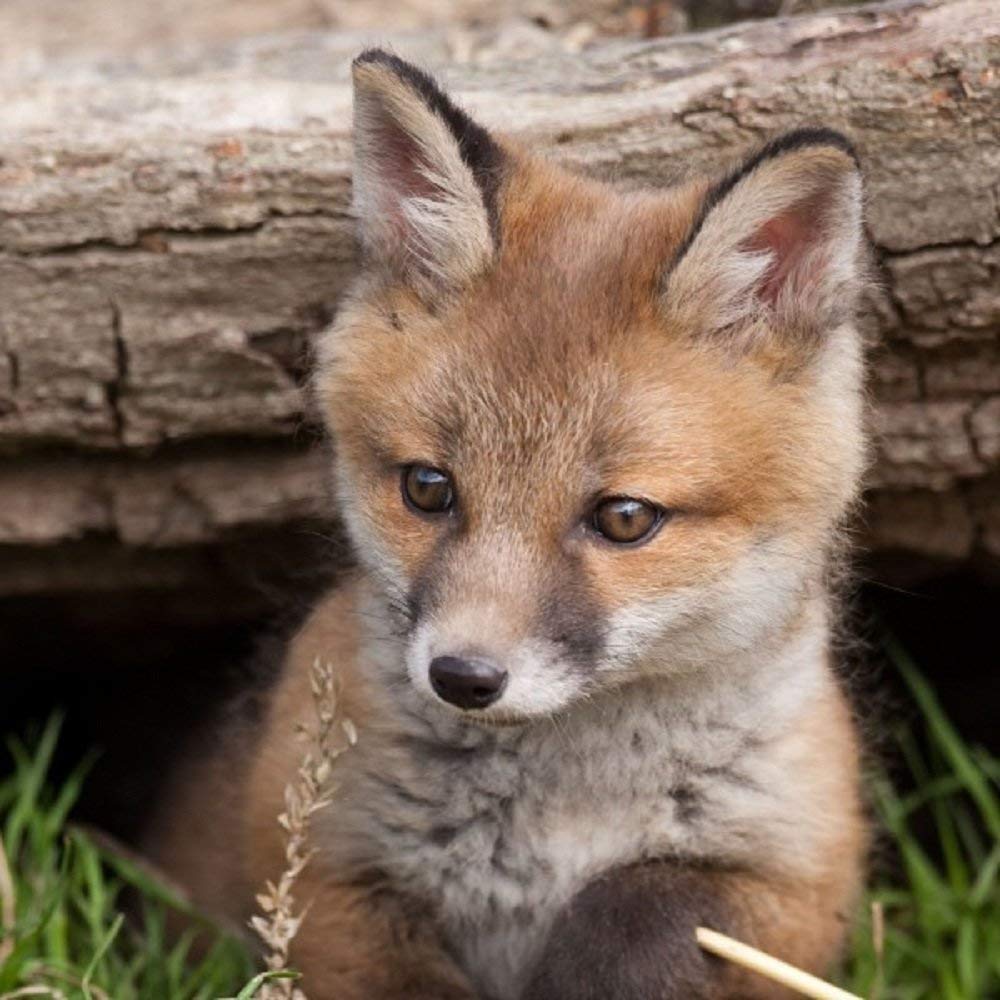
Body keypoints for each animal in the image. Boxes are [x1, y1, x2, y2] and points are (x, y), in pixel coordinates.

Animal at [148, 49, 870, 1000]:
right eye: (427, 488)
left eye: (624, 518)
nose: (463, 676)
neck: (559, 805)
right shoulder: (320, 873)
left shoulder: (799, 885)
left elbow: (640, 906)